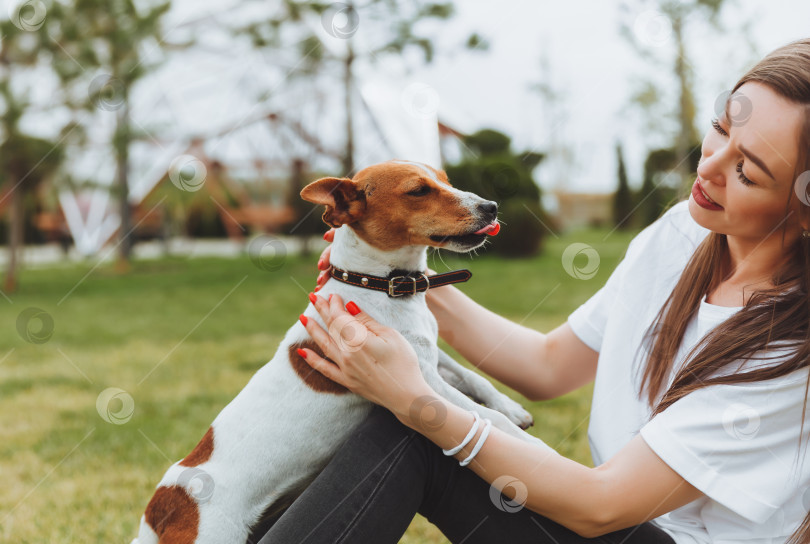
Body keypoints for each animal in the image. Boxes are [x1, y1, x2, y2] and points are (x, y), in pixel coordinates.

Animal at [133, 159, 544, 544]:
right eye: (418, 191)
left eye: (446, 180)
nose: (491, 206)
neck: (380, 285)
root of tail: (159, 510)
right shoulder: (420, 380)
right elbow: (486, 417)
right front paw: (531, 449)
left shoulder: (428, 356)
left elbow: (475, 379)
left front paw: (511, 407)